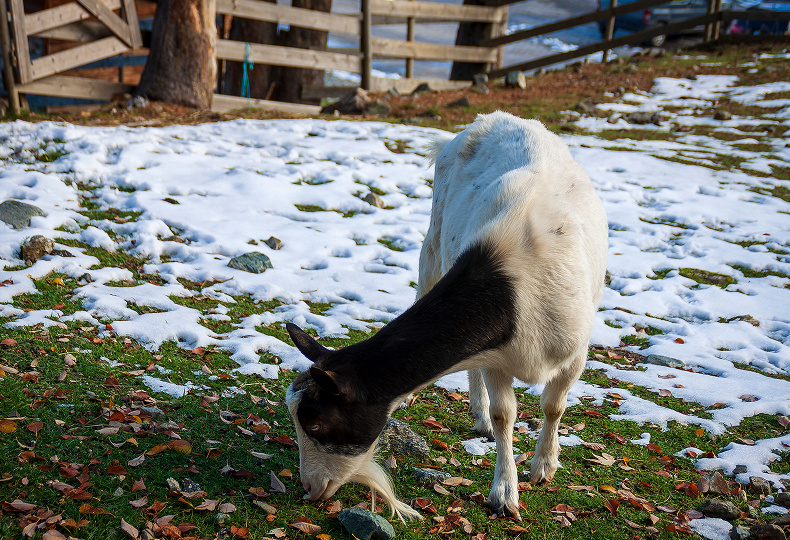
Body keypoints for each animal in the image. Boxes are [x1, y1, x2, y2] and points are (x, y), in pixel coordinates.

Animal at [288, 112, 608, 520]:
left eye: (315, 423)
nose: (310, 488)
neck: (510, 286)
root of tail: (491, 118)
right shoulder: (496, 356)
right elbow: (504, 414)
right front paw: (505, 492)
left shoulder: (574, 351)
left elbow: (553, 406)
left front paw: (542, 468)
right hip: (436, 248)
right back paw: (479, 415)